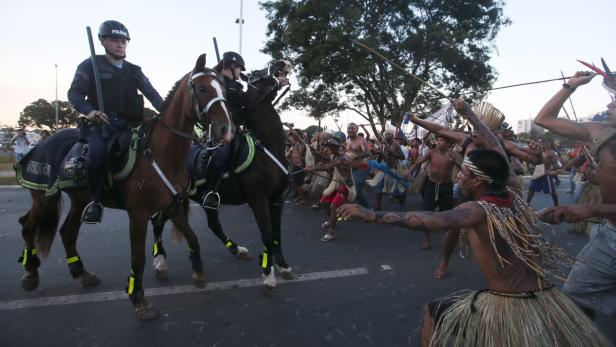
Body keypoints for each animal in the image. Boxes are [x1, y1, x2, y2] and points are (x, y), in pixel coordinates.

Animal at [16, 53, 235, 320]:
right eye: (202, 88)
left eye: (223, 88)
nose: (227, 130)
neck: (161, 152)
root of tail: (41, 144)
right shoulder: (138, 213)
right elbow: (138, 257)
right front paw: (138, 297)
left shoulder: (171, 205)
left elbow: (193, 238)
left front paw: (199, 272)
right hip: (45, 198)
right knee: (27, 226)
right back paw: (30, 272)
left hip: (80, 199)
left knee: (67, 232)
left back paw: (82, 272)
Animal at [150, 60, 294, 294]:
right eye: (255, 74)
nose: (281, 63)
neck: (267, 150)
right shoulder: (259, 200)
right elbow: (267, 234)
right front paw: (268, 275)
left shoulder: (276, 200)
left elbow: (276, 235)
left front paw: (283, 266)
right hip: (171, 200)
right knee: (157, 222)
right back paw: (160, 262)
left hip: (205, 200)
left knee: (214, 225)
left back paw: (237, 249)